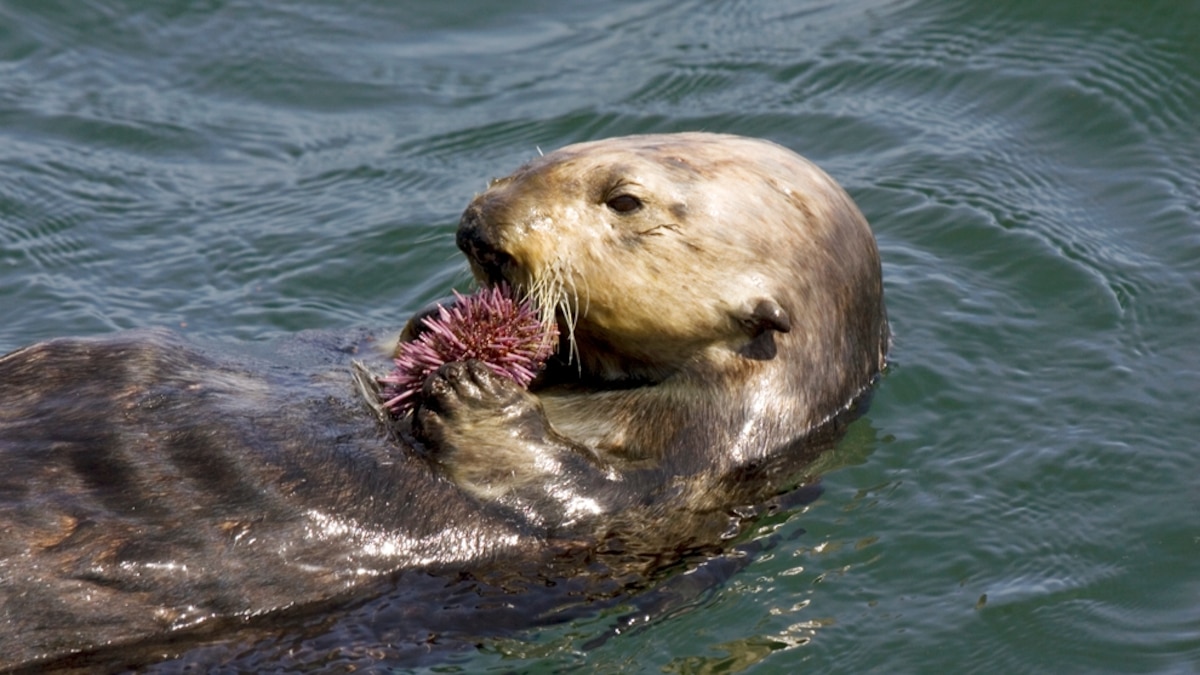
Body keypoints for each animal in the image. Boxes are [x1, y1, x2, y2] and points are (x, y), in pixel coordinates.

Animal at [0, 132, 887, 670]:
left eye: (625, 201)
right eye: (559, 150)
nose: (479, 224)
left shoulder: (685, 485)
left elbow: (572, 495)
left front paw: (471, 396)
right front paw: (427, 329)